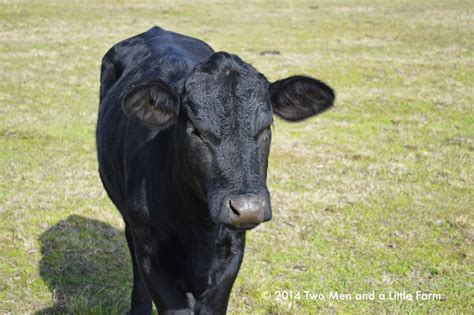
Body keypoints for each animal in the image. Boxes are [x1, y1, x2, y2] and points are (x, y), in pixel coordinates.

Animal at [95, 25, 334, 314]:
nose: (248, 208)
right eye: (195, 130)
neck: (197, 228)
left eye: (266, 127)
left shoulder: (231, 251)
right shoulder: (151, 253)